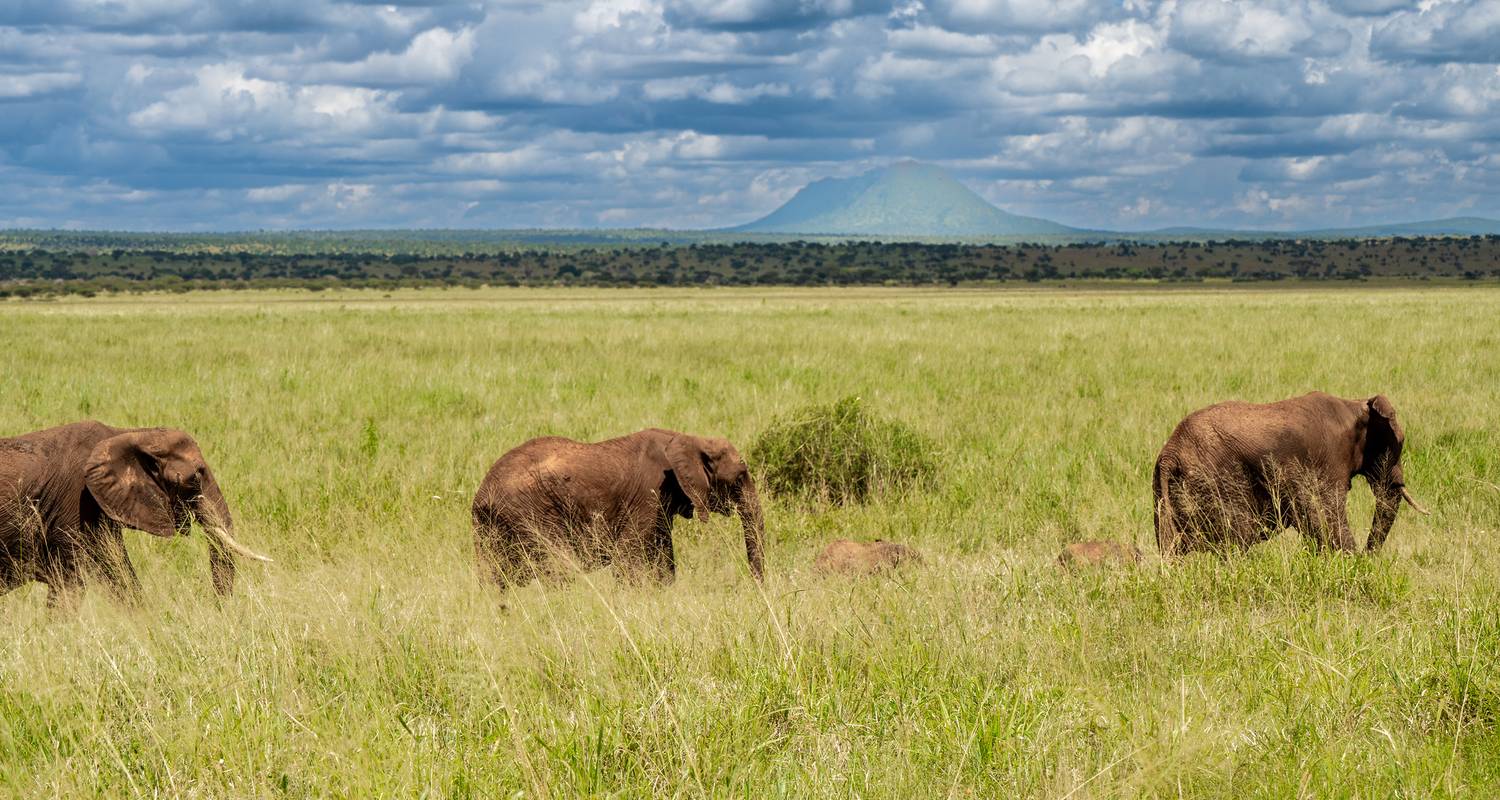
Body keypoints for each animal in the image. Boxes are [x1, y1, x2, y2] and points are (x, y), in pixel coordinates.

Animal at [0, 417, 273, 612]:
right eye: (195, 477)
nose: (217, 610)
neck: (131, 434)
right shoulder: (75, 504)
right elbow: (71, 582)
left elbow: (118, 572)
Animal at [471, 426, 768, 588]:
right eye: (740, 477)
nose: (757, 588)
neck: (690, 439)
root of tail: (483, 492)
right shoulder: (648, 495)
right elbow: (629, 559)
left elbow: (663, 557)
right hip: (532, 513)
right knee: (559, 568)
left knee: (493, 578)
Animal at [1158, 387, 1428, 552]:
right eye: (1398, 444)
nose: (1368, 554)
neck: (1354, 405)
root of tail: (1170, 453)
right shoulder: (1327, 460)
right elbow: (1325, 517)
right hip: (1217, 481)